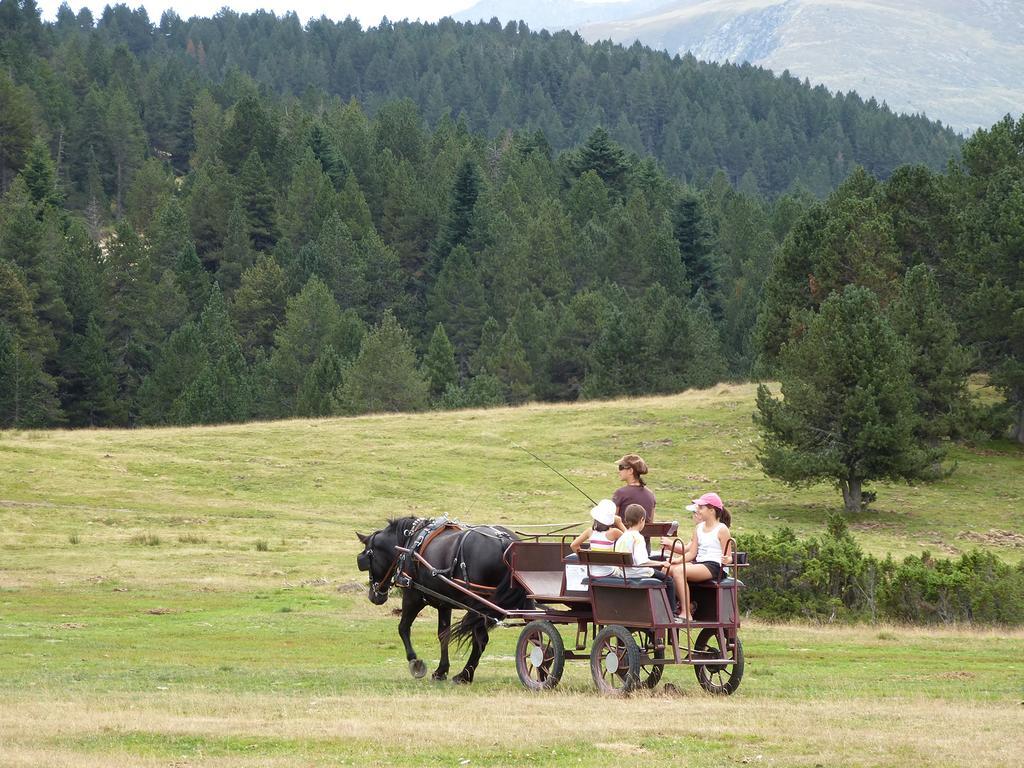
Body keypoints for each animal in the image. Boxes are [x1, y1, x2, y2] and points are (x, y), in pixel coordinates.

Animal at [356, 518, 532, 684]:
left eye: (367, 559)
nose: (374, 596)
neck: (410, 543)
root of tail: (505, 541)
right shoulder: (443, 603)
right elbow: (443, 635)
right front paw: (441, 671)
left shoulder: (413, 596)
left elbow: (403, 628)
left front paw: (415, 662)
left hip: (480, 605)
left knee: (481, 639)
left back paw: (464, 675)